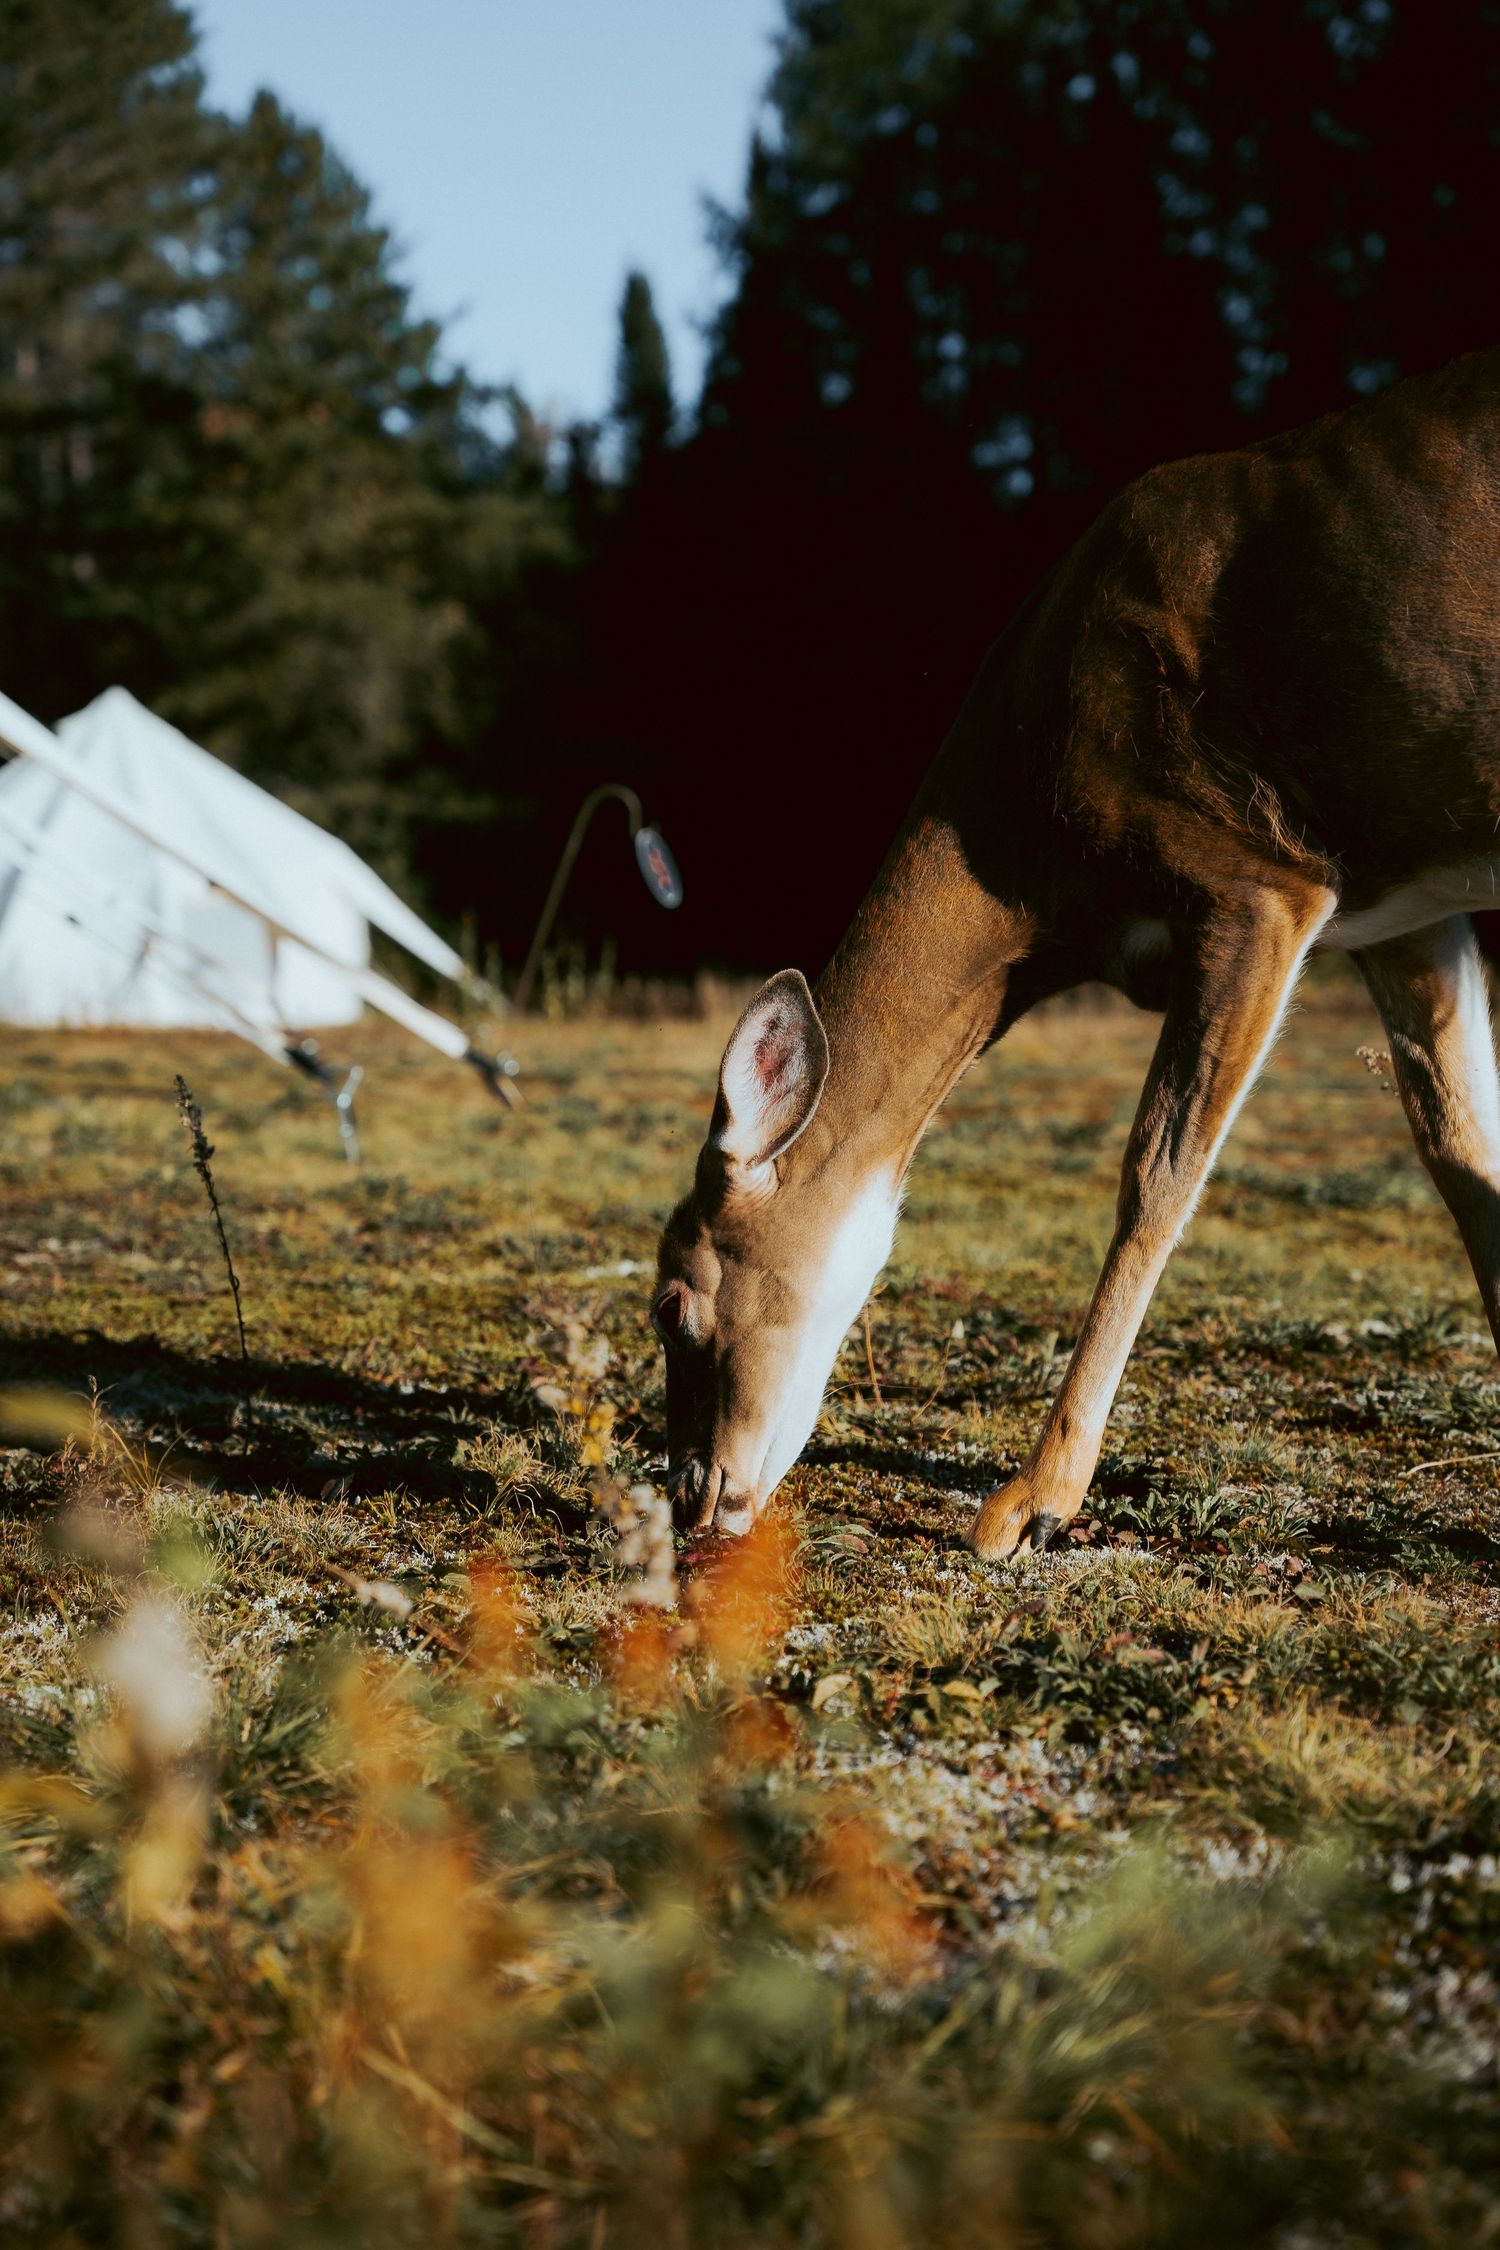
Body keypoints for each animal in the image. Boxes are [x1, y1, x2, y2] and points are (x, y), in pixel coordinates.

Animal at [653, 348, 1500, 1558]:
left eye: (672, 1304)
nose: (691, 1493)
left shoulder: (1258, 875)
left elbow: (1156, 1173)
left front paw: (1032, 1499)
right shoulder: (1403, 912)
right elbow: (1465, 1154)